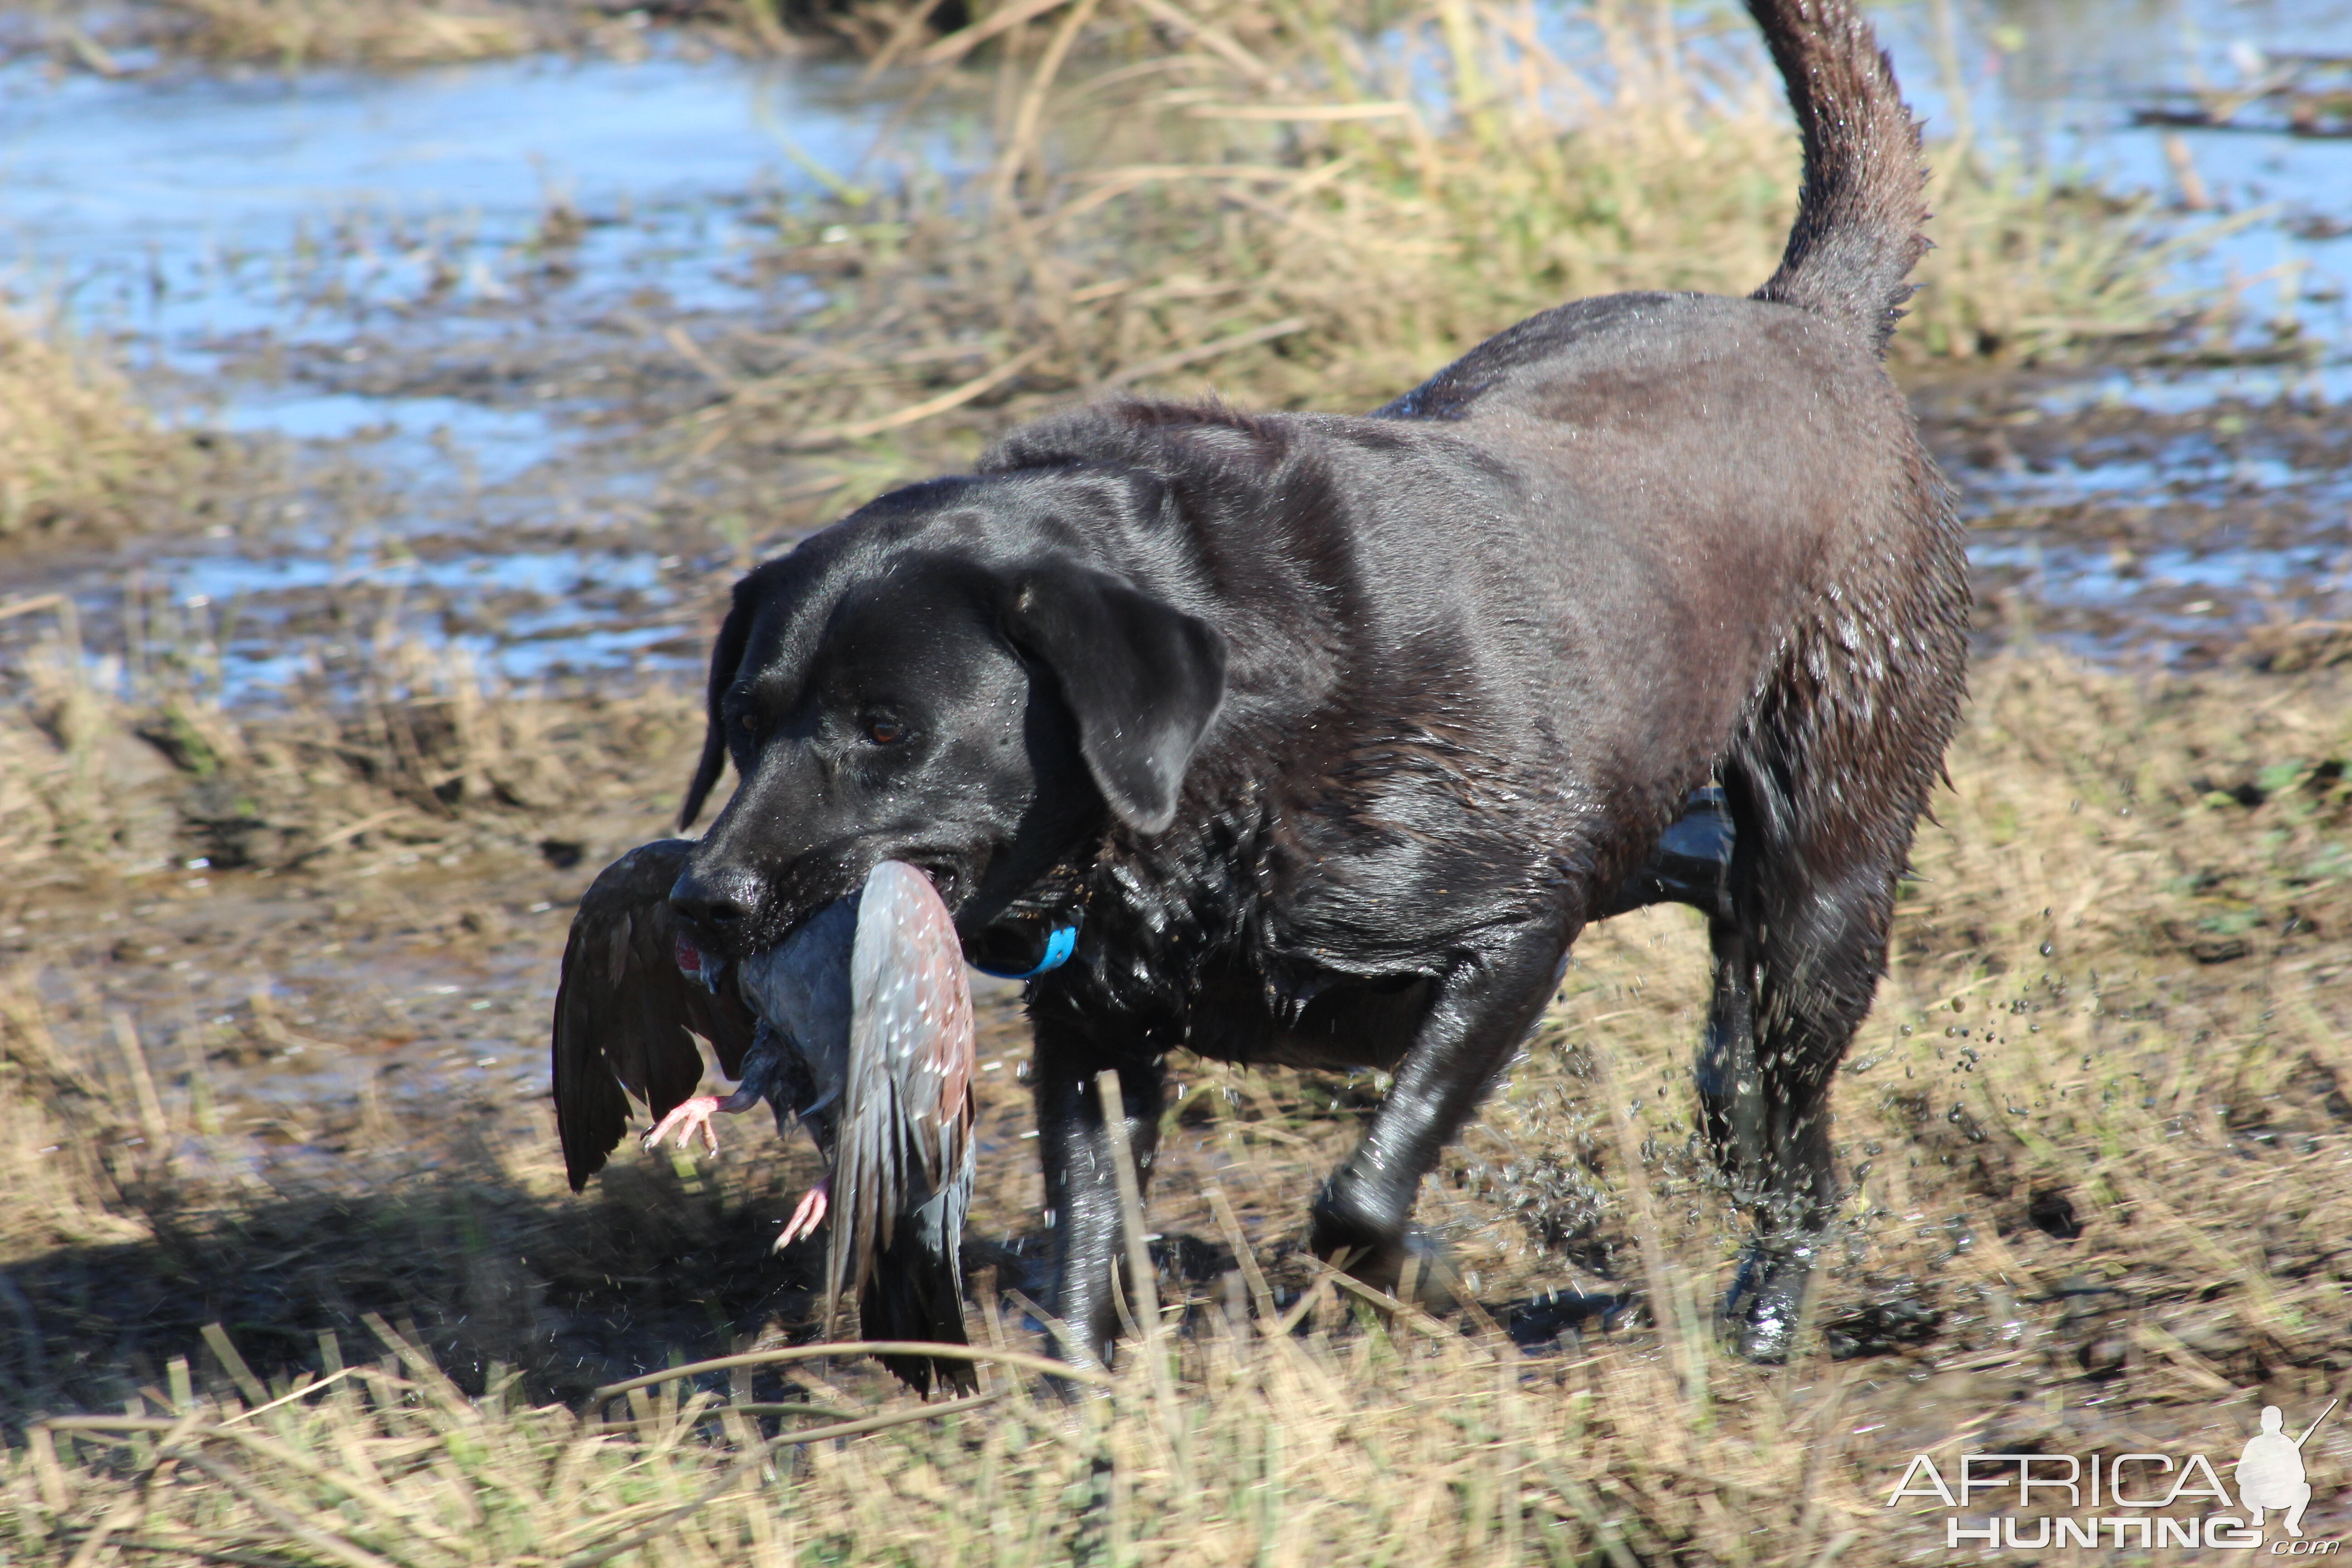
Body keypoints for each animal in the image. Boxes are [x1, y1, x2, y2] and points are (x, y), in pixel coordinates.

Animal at [668, 0, 1966, 1363]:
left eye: (887, 728)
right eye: (743, 723)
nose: (706, 901)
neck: (1220, 751)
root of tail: (1808, 317)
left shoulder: (1510, 938)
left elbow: (1359, 1197)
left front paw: (1431, 1283)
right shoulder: (1093, 1027)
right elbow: (1086, 1239)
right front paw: (1083, 1394)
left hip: (1827, 865)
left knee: (1781, 1073)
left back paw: (1764, 1308)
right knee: (1722, 974)